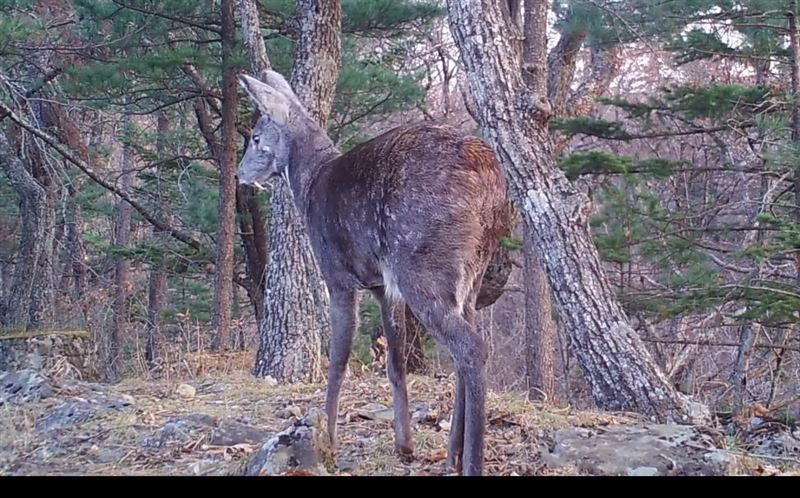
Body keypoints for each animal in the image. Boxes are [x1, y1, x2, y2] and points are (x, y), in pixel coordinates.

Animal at [238, 70, 512, 474]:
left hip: (422, 267)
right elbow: (395, 364)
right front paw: (404, 445)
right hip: (468, 277)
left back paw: (470, 461)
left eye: (257, 137)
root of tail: (491, 179)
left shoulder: (337, 276)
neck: (309, 187)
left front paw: (328, 439)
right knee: (468, 345)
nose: (240, 174)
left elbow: (338, 361)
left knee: (471, 347)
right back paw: (452, 453)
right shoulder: (384, 287)